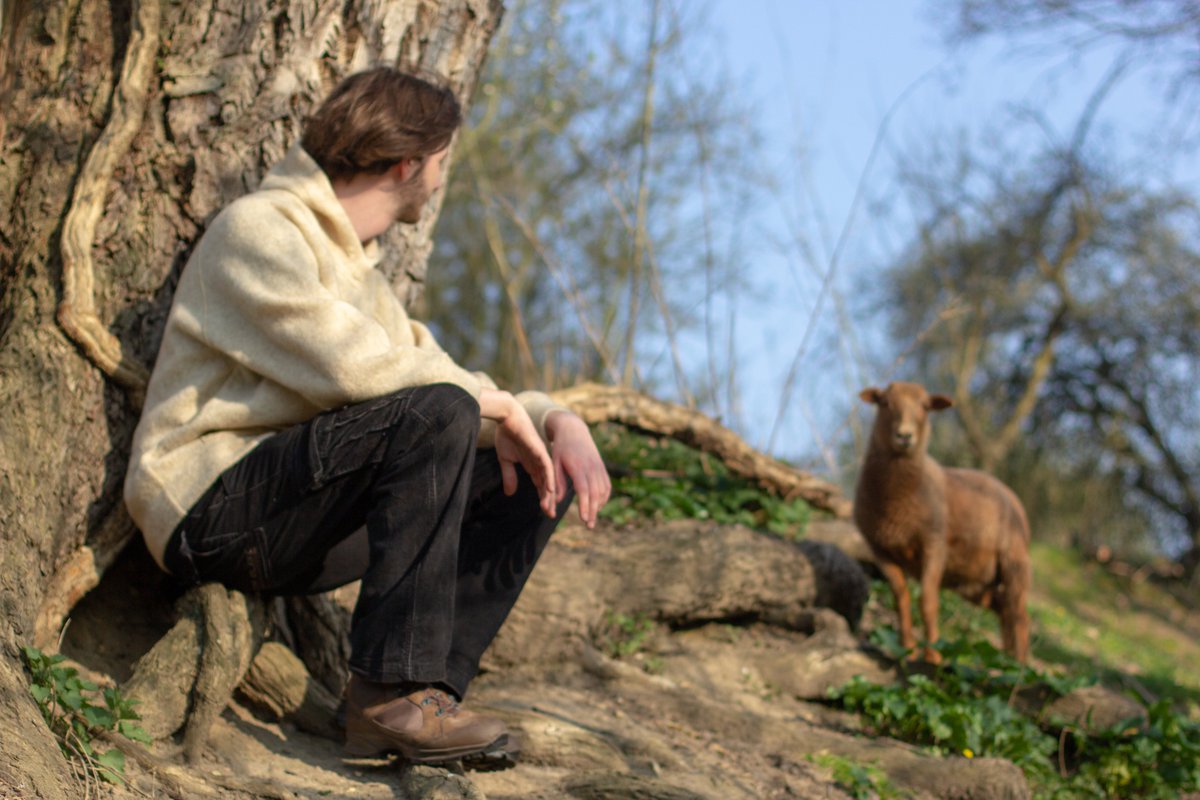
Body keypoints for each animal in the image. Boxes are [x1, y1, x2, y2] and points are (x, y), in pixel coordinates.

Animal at [853, 381, 1031, 663]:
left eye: (925, 407)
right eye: (885, 403)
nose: (904, 436)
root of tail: (1008, 492)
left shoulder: (934, 543)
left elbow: (928, 602)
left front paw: (933, 656)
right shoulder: (880, 549)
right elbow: (901, 599)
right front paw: (908, 650)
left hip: (1015, 559)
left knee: (1019, 613)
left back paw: (1021, 666)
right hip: (974, 580)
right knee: (1004, 608)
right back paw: (1005, 662)